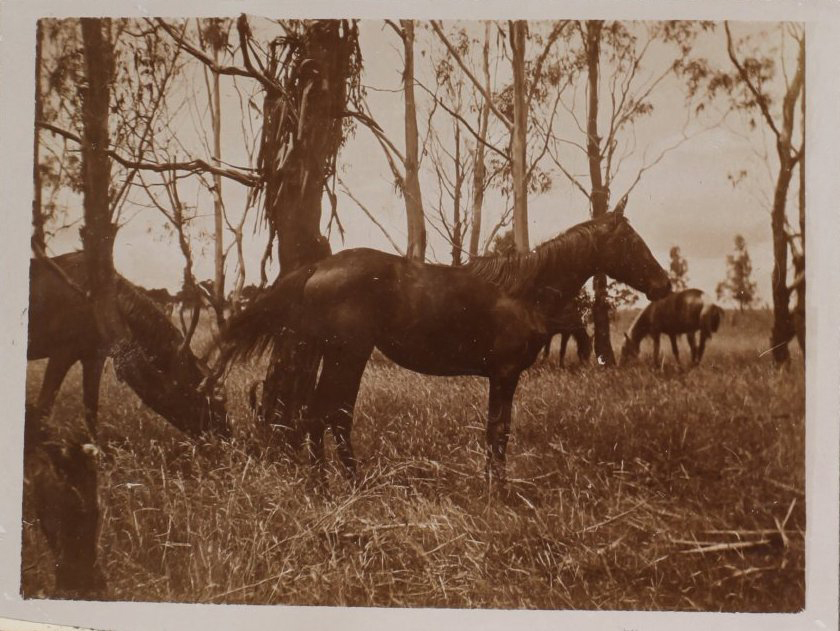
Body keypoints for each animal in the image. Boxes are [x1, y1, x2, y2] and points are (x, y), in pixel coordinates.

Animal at [28, 252, 228, 438]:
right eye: (197, 397)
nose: (225, 434)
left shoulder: (94, 355)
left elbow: (91, 408)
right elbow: (42, 409)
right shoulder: (62, 351)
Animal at [216, 202, 671, 482]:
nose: (663, 285)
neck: (523, 292)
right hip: (349, 355)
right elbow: (498, 432)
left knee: (324, 415)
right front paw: (497, 492)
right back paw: (335, 486)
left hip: (338, 355)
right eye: (631, 242)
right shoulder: (504, 375)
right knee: (329, 415)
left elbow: (496, 431)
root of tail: (319, 266)